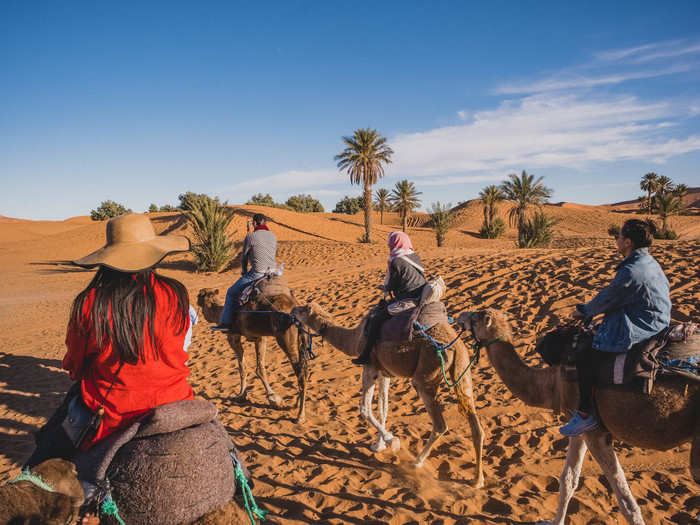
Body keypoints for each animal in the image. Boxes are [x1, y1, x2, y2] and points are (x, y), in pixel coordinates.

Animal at [196, 284, 308, 424]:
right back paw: (297, 404)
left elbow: (243, 367)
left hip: (285, 338)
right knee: (305, 368)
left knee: (300, 372)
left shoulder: (233, 337)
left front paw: (244, 395)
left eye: (199, 295)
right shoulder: (259, 338)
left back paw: (300, 416)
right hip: (302, 339)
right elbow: (258, 368)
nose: (196, 301)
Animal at [292, 300, 484, 490]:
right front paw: (378, 445)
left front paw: (392, 441)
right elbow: (383, 409)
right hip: (463, 372)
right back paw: (477, 480)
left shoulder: (369, 366)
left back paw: (417, 462)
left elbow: (365, 409)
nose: (292, 310)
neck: (355, 339)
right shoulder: (384, 372)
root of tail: (455, 346)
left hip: (425, 377)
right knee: (476, 425)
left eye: (302, 309)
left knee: (440, 424)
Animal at [456, 308, 696, 524]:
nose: (460, 316)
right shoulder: (578, 427)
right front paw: (553, 521)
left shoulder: (594, 431)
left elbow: (626, 501)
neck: (553, 385)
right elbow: (568, 480)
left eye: (476, 317)